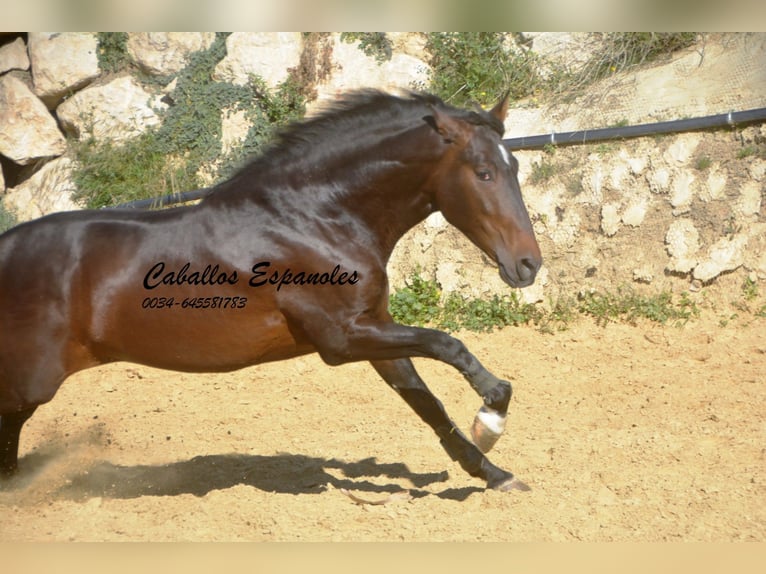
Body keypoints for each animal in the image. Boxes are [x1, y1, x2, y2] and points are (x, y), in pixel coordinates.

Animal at [0, 91, 544, 496]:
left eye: (514, 167)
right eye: (483, 172)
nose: (528, 264)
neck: (313, 218)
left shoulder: (374, 328)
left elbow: (426, 402)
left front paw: (496, 475)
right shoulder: (341, 339)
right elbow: (448, 344)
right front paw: (491, 417)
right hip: (29, 384)